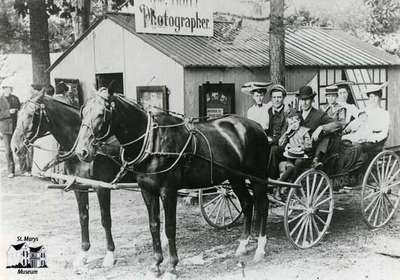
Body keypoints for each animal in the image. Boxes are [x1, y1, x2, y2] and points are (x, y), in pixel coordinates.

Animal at [10, 91, 127, 270]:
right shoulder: (79, 187)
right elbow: (83, 218)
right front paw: (83, 254)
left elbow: (105, 219)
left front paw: (109, 255)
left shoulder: (102, 188)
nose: (15, 147)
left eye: (32, 114)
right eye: (18, 114)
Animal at [74, 89, 270, 278]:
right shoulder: (147, 190)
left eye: (101, 114)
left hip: (257, 177)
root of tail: (257, 127)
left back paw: (260, 249)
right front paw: (155, 265)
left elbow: (169, 228)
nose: (82, 151)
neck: (152, 141)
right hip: (235, 177)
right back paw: (242, 246)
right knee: (247, 203)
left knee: (263, 204)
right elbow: (154, 226)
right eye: (83, 113)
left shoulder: (168, 190)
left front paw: (172, 267)